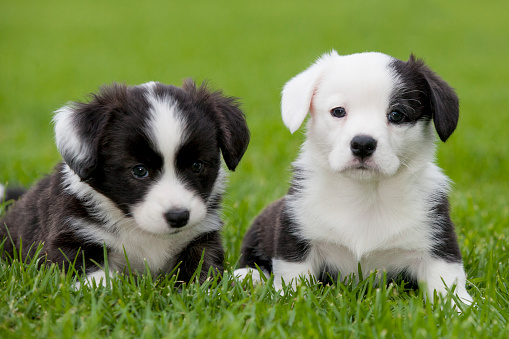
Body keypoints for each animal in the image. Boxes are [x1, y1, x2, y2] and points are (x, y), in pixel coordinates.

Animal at [0, 79, 250, 286]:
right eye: (139, 171)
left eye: (197, 166)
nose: (178, 217)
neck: (140, 229)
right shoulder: (72, 235)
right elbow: (93, 277)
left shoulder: (201, 236)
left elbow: (203, 270)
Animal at [234, 50, 472, 306]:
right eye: (338, 111)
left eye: (396, 115)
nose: (363, 144)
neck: (366, 194)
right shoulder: (296, 238)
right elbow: (293, 279)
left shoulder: (437, 243)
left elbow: (448, 282)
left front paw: (461, 307)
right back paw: (247, 275)